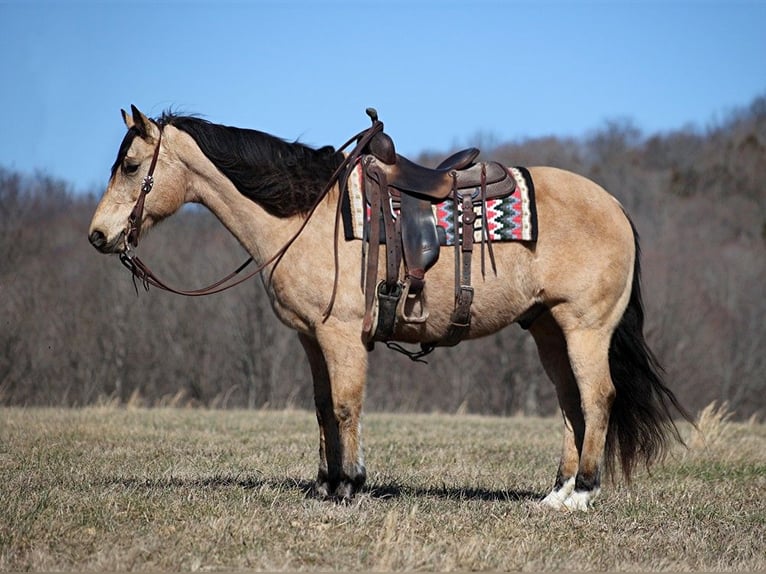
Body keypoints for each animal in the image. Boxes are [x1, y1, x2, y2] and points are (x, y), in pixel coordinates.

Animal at [87, 106, 692, 510]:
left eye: (131, 164)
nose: (98, 235)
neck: (308, 214)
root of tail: (615, 206)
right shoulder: (310, 338)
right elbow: (322, 407)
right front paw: (328, 484)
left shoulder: (340, 335)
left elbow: (346, 406)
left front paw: (351, 485)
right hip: (548, 329)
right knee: (571, 403)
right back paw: (556, 493)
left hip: (586, 327)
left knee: (598, 397)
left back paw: (583, 493)